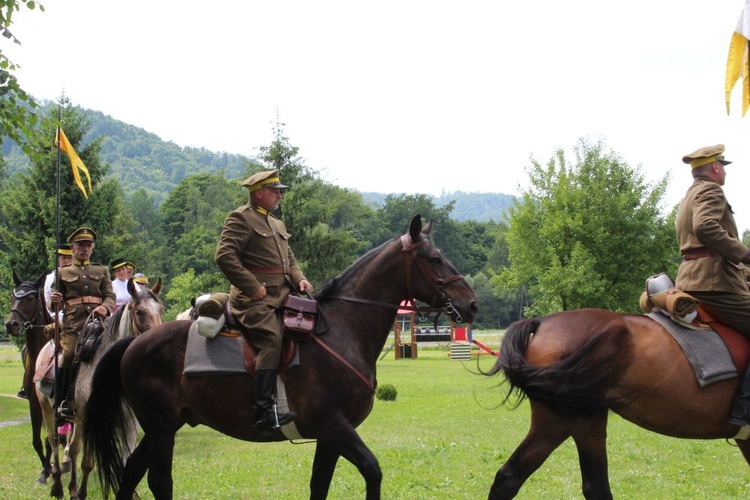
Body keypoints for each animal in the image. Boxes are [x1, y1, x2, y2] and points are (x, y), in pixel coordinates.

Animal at [35, 278, 164, 500]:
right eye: (139, 312)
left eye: (161, 309)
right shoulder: (91, 417)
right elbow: (88, 462)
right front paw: (81, 492)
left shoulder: (130, 421)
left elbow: (126, 460)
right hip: (49, 410)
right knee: (55, 442)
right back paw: (58, 486)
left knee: (72, 448)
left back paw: (70, 486)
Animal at [85, 217, 478, 500]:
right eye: (434, 259)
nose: (471, 304)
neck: (341, 329)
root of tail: (135, 342)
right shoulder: (334, 425)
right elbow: (372, 470)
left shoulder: (329, 437)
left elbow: (319, 485)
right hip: (162, 427)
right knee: (158, 481)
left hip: (163, 426)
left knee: (130, 474)